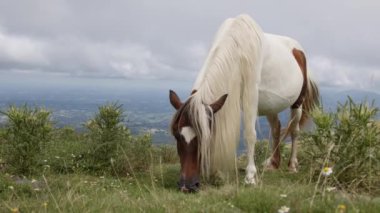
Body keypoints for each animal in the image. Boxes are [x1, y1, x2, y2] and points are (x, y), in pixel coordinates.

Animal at [168, 14, 320, 192]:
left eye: (203, 137)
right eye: (177, 135)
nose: (187, 186)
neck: (238, 49)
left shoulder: (251, 98)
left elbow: (250, 135)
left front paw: (250, 177)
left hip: (298, 103)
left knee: (295, 130)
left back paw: (292, 165)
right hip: (271, 106)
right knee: (276, 128)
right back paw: (273, 163)